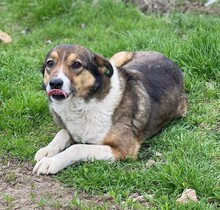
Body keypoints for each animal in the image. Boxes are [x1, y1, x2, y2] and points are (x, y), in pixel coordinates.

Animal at [32, 44, 187, 176]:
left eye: (77, 64)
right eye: (50, 63)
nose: (55, 83)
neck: (82, 105)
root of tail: (167, 58)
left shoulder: (122, 149)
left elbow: (77, 148)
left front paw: (51, 162)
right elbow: (63, 132)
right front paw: (47, 151)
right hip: (117, 58)